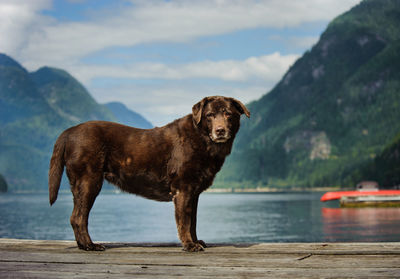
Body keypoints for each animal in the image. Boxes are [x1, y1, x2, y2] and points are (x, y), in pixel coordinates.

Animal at [49, 96, 250, 254]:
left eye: (228, 114)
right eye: (209, 115)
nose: (220, 131)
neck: (202, 139)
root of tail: (69, 131)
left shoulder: (194, 193)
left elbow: (193, 221)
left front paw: (195, 241)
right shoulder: (183, 190)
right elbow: (185, 221)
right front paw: (189, 245)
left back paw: (84, 245)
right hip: (89, 182)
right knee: (78, 217)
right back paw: (90, 246)